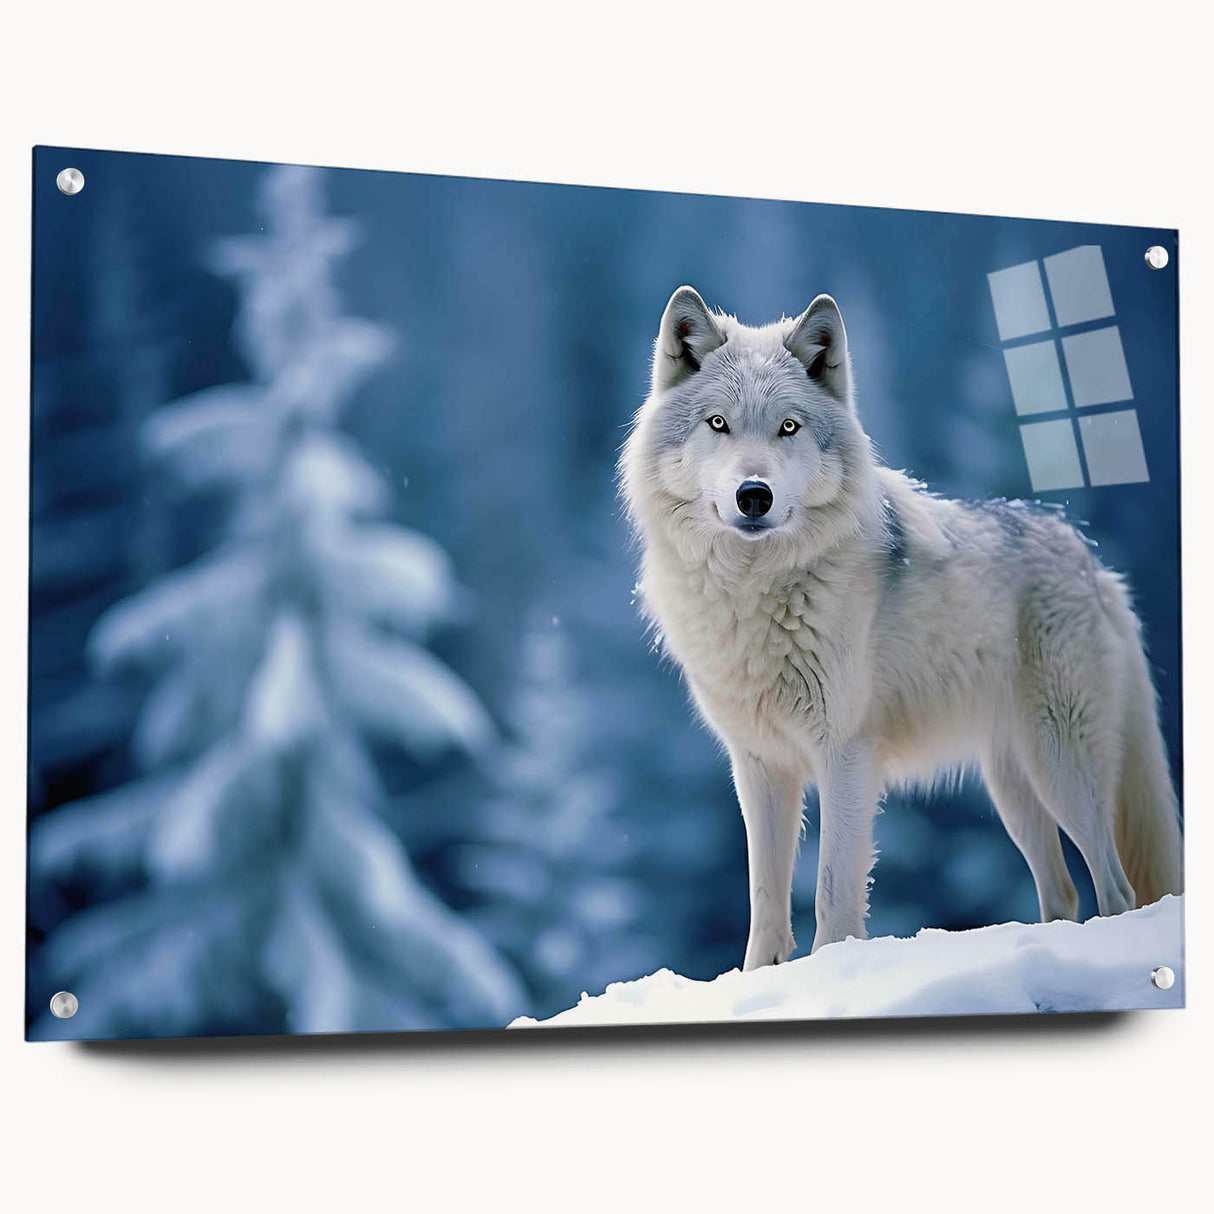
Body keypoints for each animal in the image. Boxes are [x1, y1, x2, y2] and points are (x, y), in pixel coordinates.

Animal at [620, 286, 1183, 970]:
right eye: (717, 424)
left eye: (789, 427)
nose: (754, 494)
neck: (756, 594)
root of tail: (1095, 564)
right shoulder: (759, 766)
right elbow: (765, 903)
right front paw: (761, 979)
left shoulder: (845, 754)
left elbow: (831, 892)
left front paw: (833, 972)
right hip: (1014, 791)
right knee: (1064, 893)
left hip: (1061, 768)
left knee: (1116, 889)